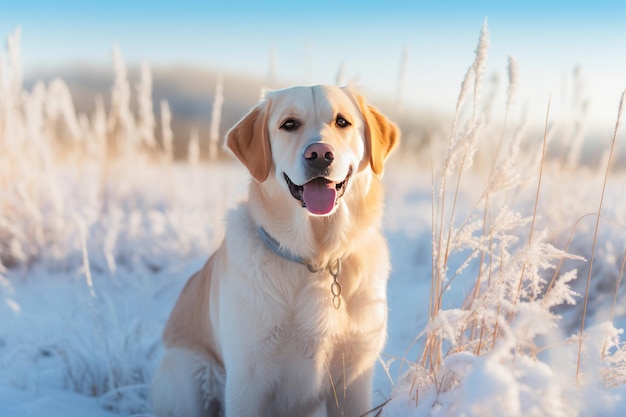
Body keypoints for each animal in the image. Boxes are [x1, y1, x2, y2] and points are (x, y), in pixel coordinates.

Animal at [149, 85, 398, 416]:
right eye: (289, 124)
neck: (315, 258)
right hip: (188, 370)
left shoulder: (355, 376)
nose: (320, 154)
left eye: (342, 122)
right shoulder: (246, 380)